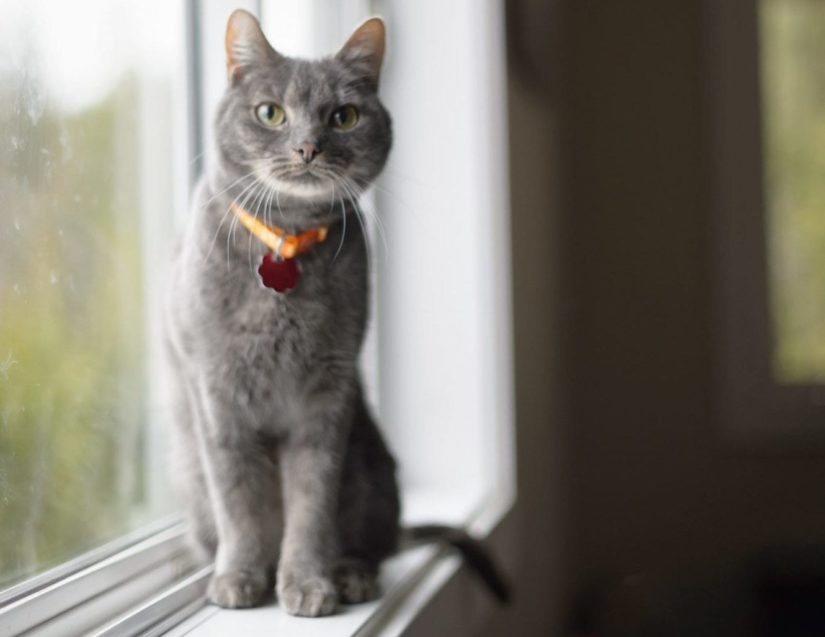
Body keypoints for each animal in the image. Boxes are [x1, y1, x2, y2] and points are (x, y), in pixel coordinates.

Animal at [163, 9, 508, 616]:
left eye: (343, 117)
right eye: (270, 113)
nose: (307, 148)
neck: (286, 243)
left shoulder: (328, 398)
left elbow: (310, 507)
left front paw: (307, 583)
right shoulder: (218, 398)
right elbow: (240, 504)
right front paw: (241, 578)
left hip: (369, 465)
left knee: (371, 542)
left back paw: (351, 575)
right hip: (188, 470)